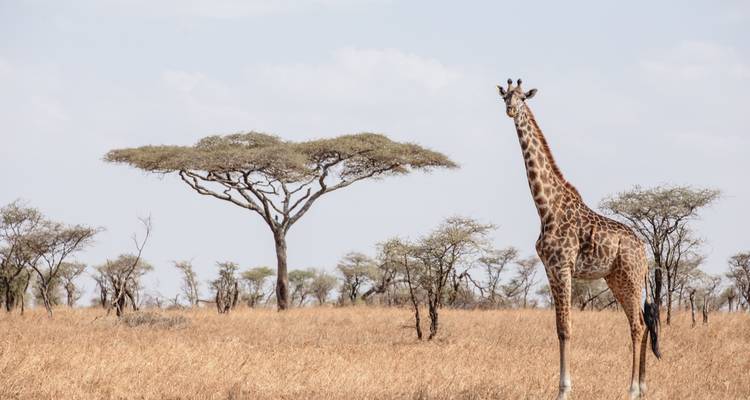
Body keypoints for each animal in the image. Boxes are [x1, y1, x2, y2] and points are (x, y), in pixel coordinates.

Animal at [496, 79, 661, 400]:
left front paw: (563, 390)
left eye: (523, 98)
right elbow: (559, 327)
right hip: (616, 278)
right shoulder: (550, 269)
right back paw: (643, 386)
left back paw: (632, 388)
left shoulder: (563, 266)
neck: (546, 206)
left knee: (637, 325)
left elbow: (566, 328)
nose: (510, 110)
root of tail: (644, 253)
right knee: (642, 323)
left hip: (631, 278)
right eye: (505, 96)